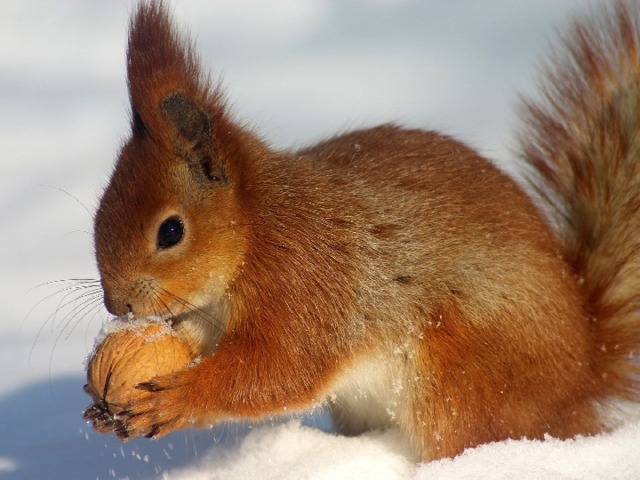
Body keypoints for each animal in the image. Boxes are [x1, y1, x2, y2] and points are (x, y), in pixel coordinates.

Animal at [87, 0, 640, 460]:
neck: (256, 231)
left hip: (465, 383)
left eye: (170, 231)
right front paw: (102, 401)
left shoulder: (305, 283)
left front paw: (179, 398)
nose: (118, 305)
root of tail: (585, 372)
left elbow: (279, 370)